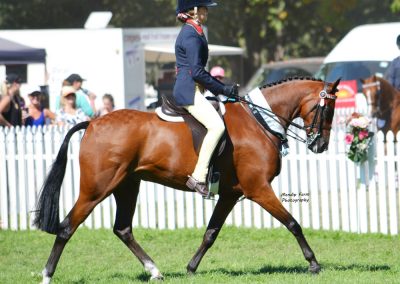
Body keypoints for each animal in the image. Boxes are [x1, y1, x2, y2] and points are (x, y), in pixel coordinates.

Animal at [35, 76, 340, 282]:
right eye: (326, 110)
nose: (321, 145)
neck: (259, 121)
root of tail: (93, 123)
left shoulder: (230, 194)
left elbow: (210, 233)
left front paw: (191, 268)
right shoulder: (258, 189)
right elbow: (293, 223)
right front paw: (313, 264)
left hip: (126, 186)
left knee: (123, 229)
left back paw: (155, 271)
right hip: (96, 189)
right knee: (66, 227)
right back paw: (47, 274)